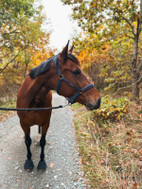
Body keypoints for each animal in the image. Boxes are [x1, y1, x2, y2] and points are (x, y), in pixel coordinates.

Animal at [16, 41, 101, 171]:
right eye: (76, 71)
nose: (98, 100)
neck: (33, 101)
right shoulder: (24, 124)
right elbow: (27, 141)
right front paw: (29, 161)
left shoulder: (46, 123)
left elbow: (43, 141)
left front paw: (41, 162)